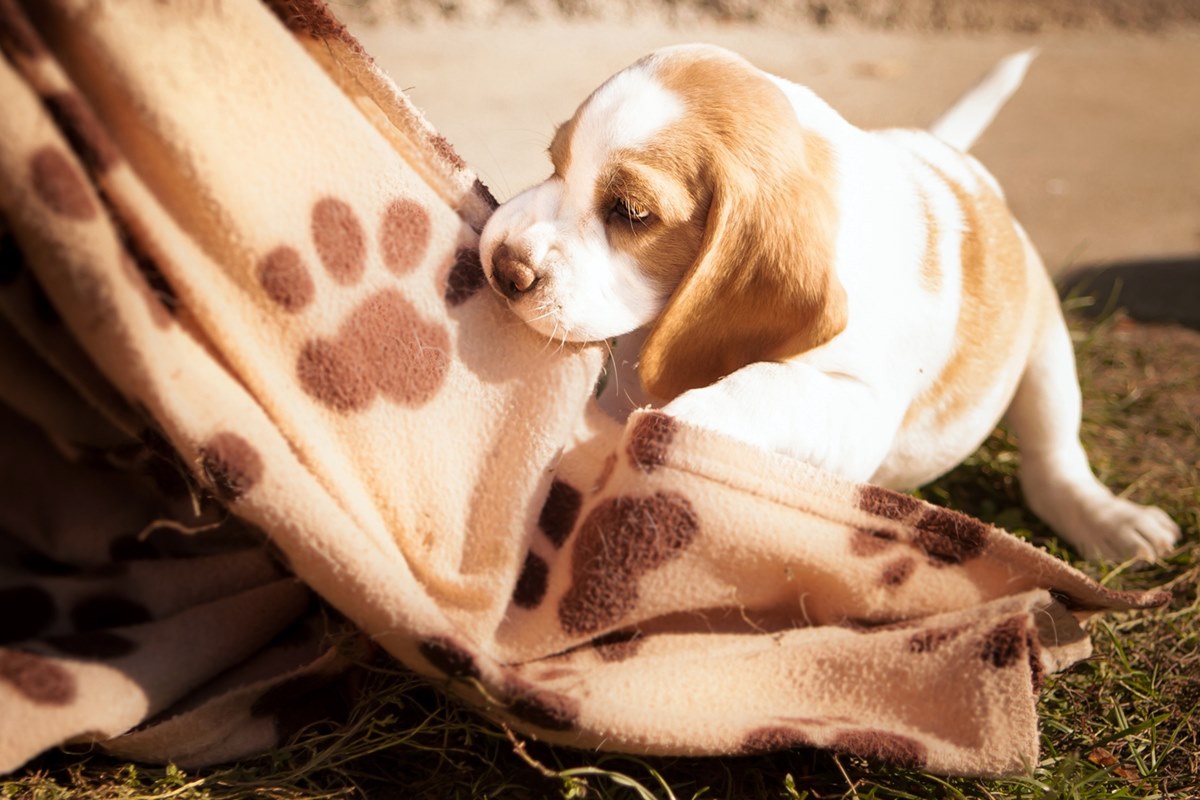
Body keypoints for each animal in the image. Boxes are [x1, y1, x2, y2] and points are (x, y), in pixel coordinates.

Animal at [477, 42, 1180, 556]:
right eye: (553, 162)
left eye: (630, 211)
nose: (503, 267)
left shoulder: (860, 411)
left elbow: (764, 384)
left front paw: (686, 422)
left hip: (1047, 353)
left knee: (1052, 460)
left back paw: (1109, 519)